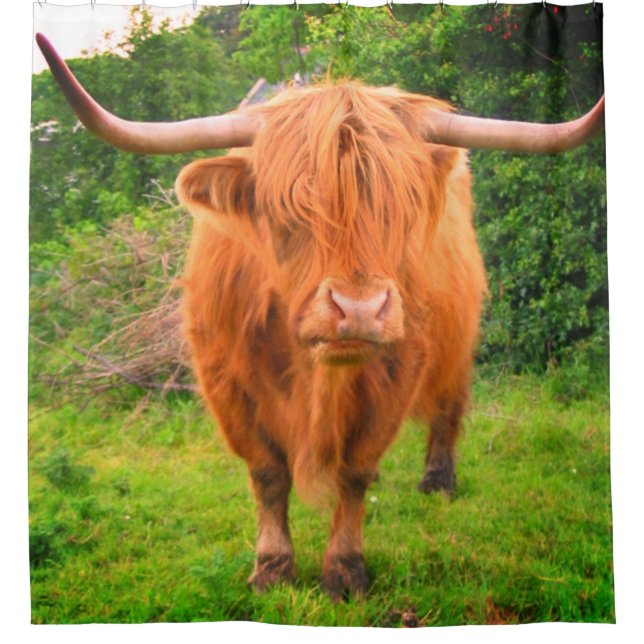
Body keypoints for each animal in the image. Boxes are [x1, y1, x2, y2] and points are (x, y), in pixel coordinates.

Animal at [36, 33, 605, 599]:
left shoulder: (397, 370)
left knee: (449, 404)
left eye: (401, 207)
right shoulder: (226, 380)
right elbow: (267, 474)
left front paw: (345, 570)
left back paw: (438, 480)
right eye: (289, 211)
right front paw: (272, 566)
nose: (359, 310)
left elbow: (355, 469)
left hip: (459, 333)